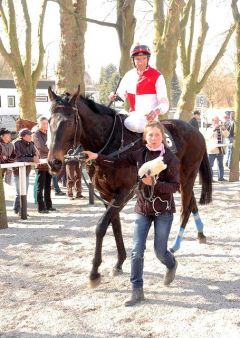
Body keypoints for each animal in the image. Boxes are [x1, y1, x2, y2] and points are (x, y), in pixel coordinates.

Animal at [47, 86, 212, 286]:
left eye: (70, 121)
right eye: (49, 120)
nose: (54, 162)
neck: (111, 145)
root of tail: (195, 129)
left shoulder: (123, 192)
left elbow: (101, 226)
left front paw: (94, 272)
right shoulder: (108, 195)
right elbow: (115, 225)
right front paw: (119, 262)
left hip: (188, 177)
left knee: (185, 209)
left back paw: (175, 244)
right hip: (179, 180)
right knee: (192, 203)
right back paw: (201, 234)